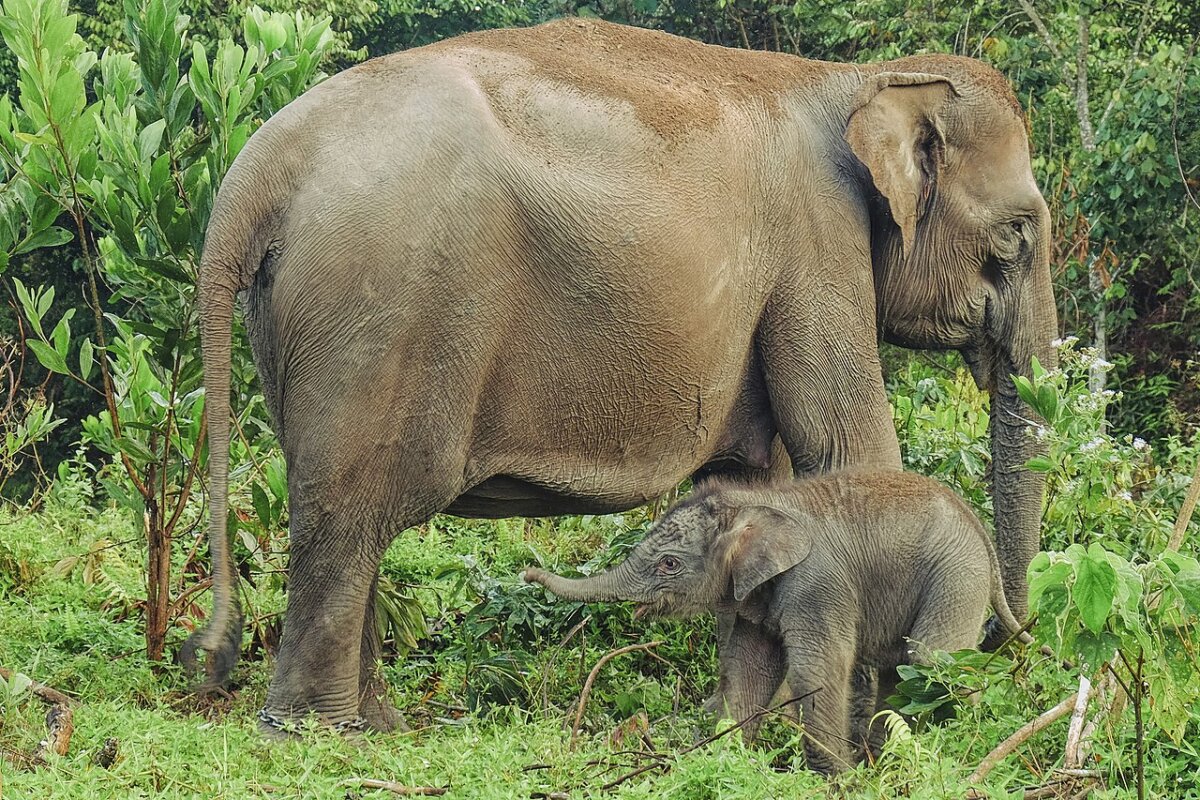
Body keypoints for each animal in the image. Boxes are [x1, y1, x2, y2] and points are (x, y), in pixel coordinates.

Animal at [186, 18, 1057, 733]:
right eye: (1017, 233)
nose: (1009, 638)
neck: (860, 78)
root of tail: (256, 169)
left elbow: (753, 483)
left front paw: (730, 727)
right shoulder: (818, 243)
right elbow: (851, 448)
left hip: (295, 321)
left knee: (342, 509)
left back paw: (379, 728)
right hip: (379, 310)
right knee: (352, 513)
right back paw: (318, 733)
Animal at [521, 470, 1033, 774]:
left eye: (669, 564)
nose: (526, 573)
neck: (756, 501)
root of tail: (978, 527)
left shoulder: (817, 583)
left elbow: (816, 671)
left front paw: (837, 780)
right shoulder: (753, 594)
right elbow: (747, 672)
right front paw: (722, 762)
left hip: (956, 575)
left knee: (930, 662)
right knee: (900, 670)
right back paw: (885, 761)